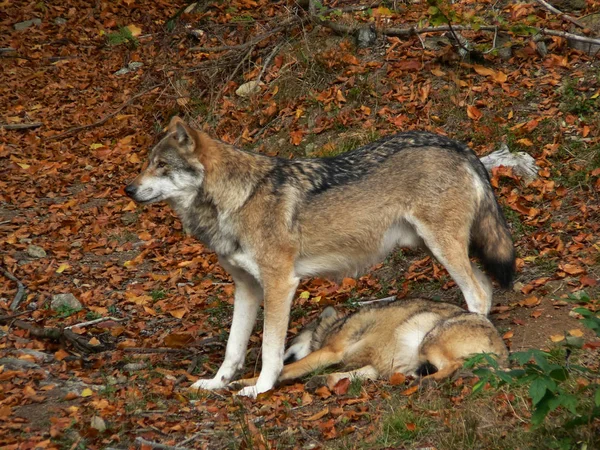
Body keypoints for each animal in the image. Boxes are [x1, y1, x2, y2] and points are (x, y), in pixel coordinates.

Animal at [237, 298, 508, 390]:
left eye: (287, 343)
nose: (263, 357)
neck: (333, 326)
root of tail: (504, 352)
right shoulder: (373, 368)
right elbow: (340, 375)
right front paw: (321, 381)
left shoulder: (331, 351)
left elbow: (288, 370)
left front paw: (248, 384)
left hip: (426, 338)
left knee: (454, 367)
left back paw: (426, 383)